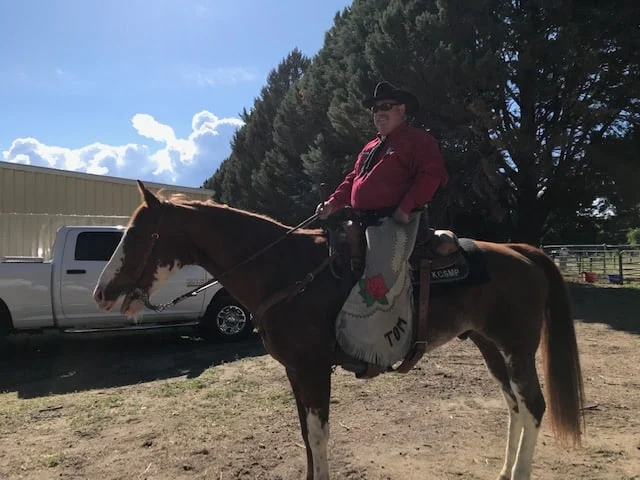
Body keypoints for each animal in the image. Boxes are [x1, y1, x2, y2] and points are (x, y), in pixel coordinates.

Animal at [93, 181, 585, 480]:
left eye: (138, 234)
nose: (101, 293)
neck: (286, 270)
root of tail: (521, 251)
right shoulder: (296, 371)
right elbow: (306, 435)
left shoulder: (314, 370)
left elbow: (318, 434)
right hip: (489, 346)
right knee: (514, 405)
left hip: (517, 347)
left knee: (533, 405)